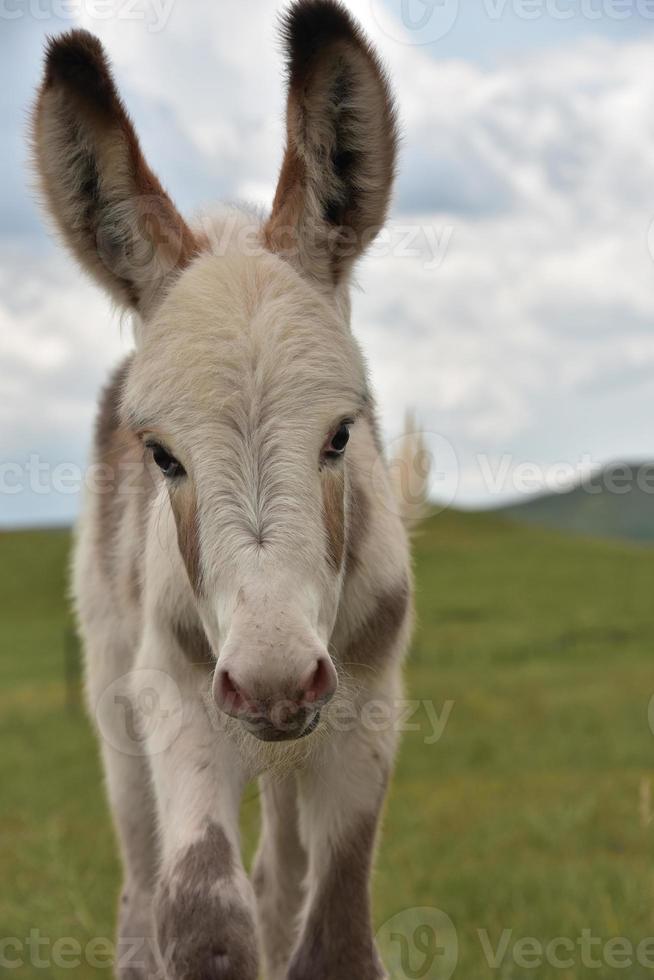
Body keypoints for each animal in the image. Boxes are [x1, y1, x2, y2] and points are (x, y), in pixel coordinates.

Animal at [32, 1, 416, 980]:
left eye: (341, 434)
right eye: (164, 456)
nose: (273, 681)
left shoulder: (362, 713)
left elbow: (334, 937)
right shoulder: (179, 702)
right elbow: (202, 917)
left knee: (281, 880)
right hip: (116, 697)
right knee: (141, 886)